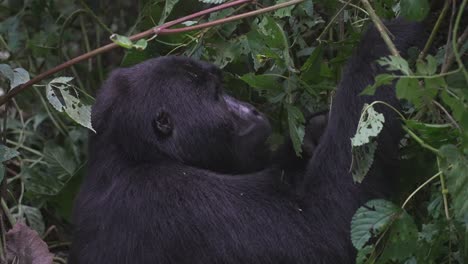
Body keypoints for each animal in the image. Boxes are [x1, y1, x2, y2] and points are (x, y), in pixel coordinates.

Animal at [68, 20, 424, 264]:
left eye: (221, 88)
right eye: (216, 95)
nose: (250, 110)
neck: (132, 154)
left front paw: (313, 134)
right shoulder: (172, 198)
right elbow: (320, 228)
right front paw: (382, 42)